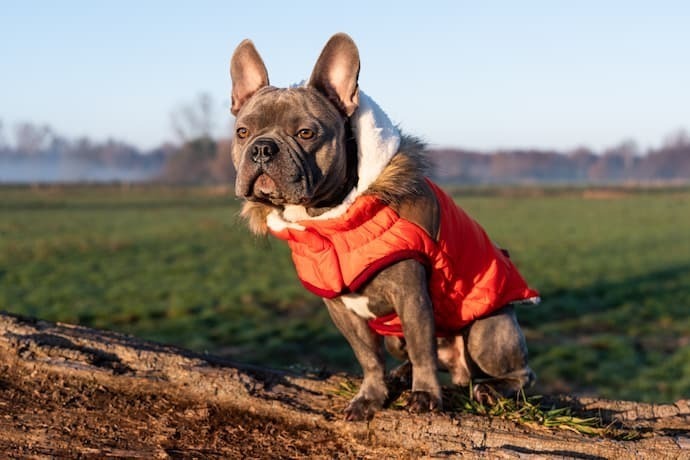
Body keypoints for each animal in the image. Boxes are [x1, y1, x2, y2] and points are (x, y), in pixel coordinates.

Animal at [227, 32, 536, 420]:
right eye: (242, 132)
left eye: (306, 133)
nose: (262, 149)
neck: (330, 219)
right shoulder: (340, 308)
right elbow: (368, 357)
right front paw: (371, 396)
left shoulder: (411, 295)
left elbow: (421, 348)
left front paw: (425, 395)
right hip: (396, 338)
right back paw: (402, 374)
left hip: (487, 330)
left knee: (517, 373)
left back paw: (490, 390)